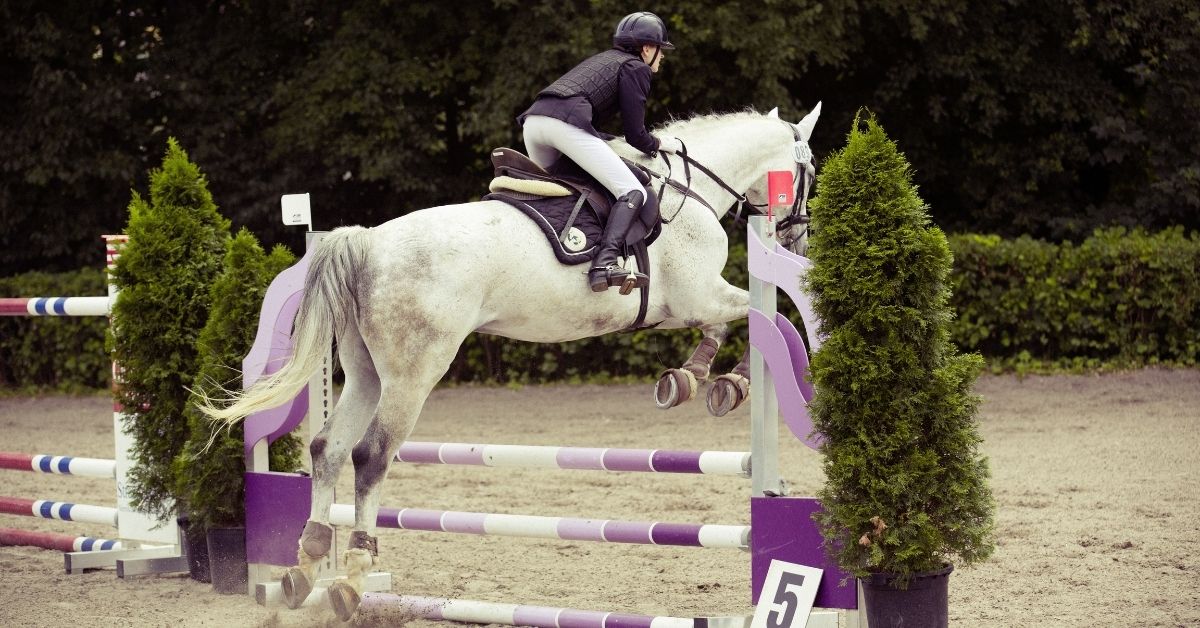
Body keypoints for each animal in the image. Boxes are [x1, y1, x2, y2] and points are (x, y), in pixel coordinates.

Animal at [201, 104, 820, 619]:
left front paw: (689, 380)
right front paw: (721, 383)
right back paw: (351, 579)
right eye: (809, 170)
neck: (688, 190)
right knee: (371, 455)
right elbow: (768, 319)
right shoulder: (695, 296)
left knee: (327, 448)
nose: (799, 238)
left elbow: (744, 322)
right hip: (413, 373)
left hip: (366, 374)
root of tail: (367, 242)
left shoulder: (678, 306)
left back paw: (304, 572)